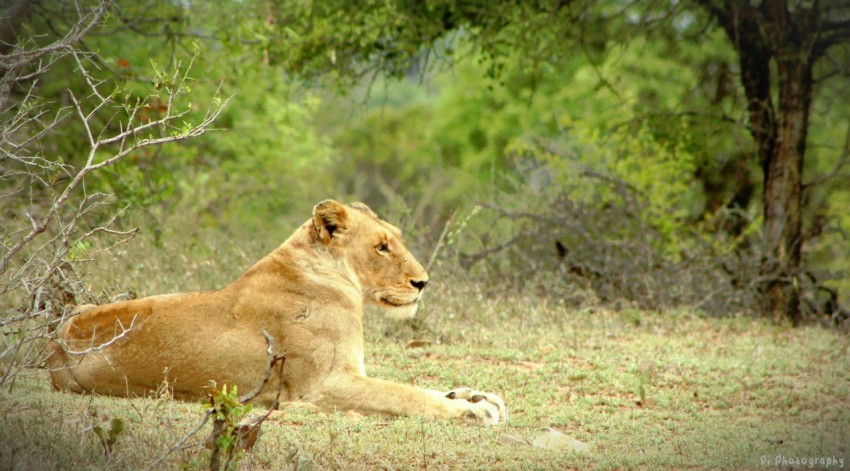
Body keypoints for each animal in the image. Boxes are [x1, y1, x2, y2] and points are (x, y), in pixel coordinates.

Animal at [46, 199, 504, 424]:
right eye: (381, 247)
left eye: (396, 239)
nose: (422, 282)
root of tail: (54, 347)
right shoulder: (325, 383)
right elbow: (403, 394)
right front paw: (472, 410)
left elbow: (417, 388)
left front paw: (475, 395)